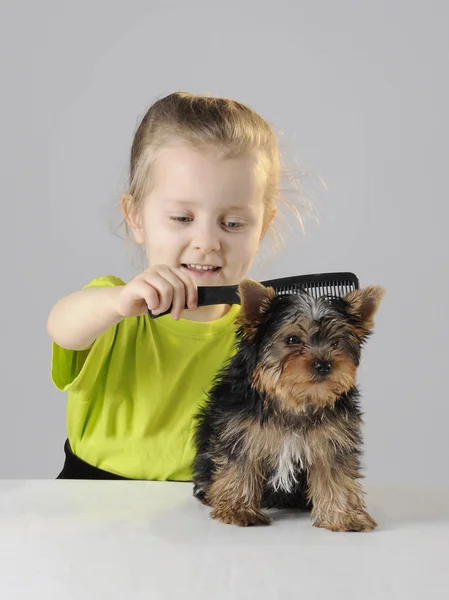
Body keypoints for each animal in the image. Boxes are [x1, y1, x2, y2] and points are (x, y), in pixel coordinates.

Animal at [191, 278, 384, 532]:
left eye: (335, 342)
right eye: (292, 340)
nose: (324, 364)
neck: (294, 401)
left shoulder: (333, 439)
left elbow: (336, 475)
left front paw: (345, 516)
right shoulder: (240, 431)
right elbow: (241, 467)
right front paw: (238, 510)